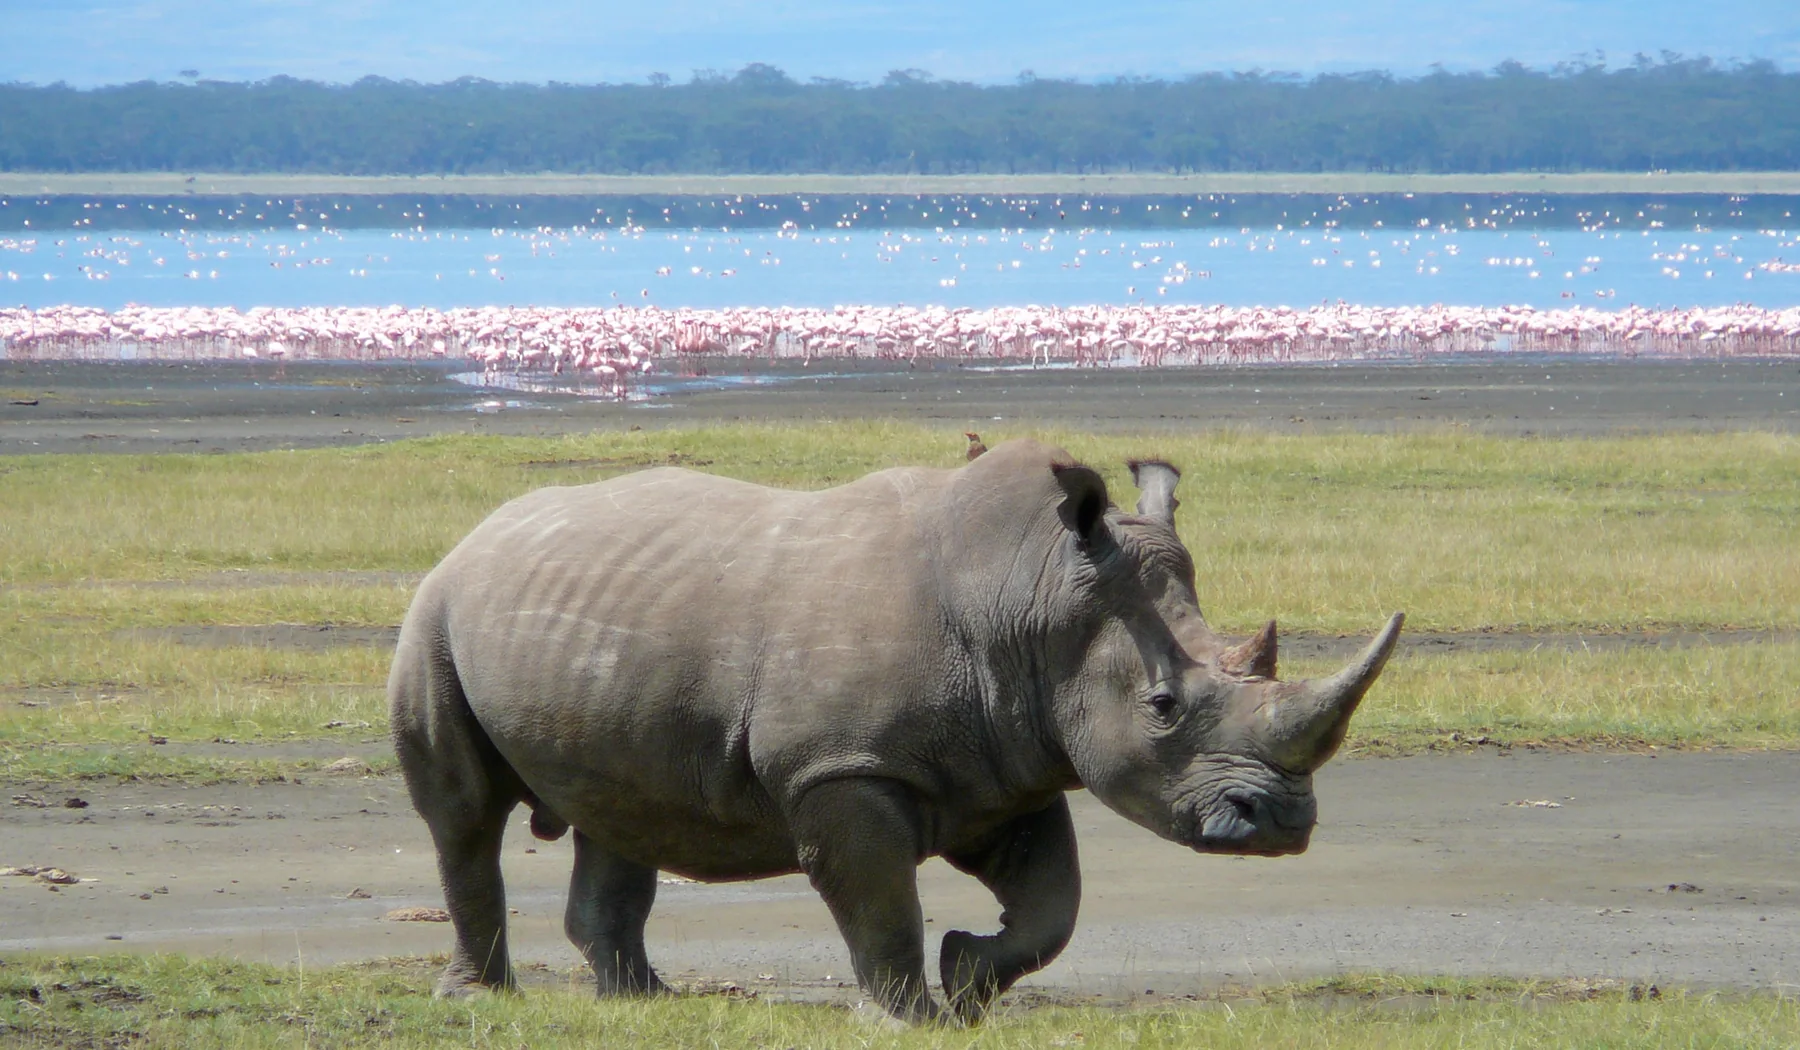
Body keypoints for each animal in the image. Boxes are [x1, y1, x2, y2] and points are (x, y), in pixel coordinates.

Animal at [390, 439, 1402, 1023]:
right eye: (1162, 709)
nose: (1283, 825)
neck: (1031, 596)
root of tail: (481, 532)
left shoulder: (1007, 762)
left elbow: (1054, 905)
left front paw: (967, 980)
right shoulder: (844, 767)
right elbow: (877, 901)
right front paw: (908, 1019)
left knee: (620, 808)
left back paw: (644, 1006)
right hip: (434, 612)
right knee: (464, 815)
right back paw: (482, 999)